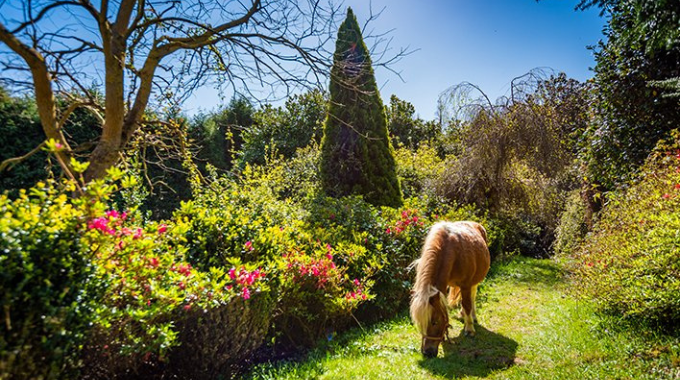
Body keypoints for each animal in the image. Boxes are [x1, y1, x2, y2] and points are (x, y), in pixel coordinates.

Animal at [410, 221, 488, 358]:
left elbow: (467, 304)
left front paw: (470, 329)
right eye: (419, 323)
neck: (453, 252)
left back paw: (472, 317)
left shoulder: (466, 285)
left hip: (474, 282)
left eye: (434, 322)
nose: (427, 352)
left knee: (472, 296)